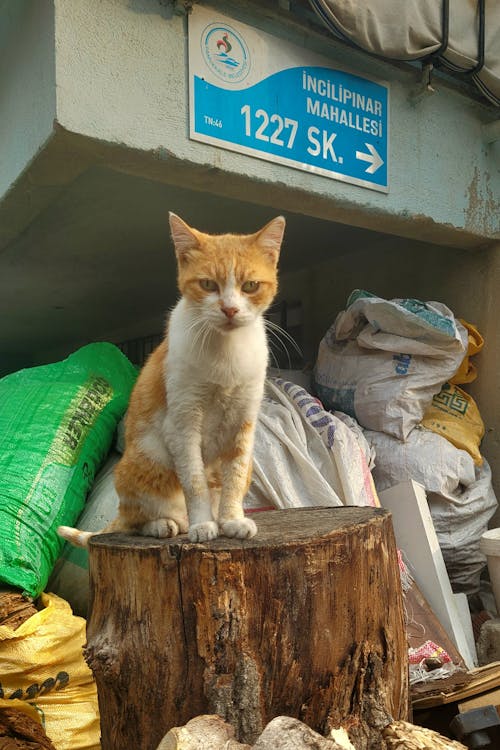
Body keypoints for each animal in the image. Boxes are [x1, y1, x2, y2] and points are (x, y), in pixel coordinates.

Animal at [58, 210, 286, 548]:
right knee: (133, 521)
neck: (226, 352)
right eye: (208, 284)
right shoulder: (183, 421)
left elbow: (232, 477)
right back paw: (166, 525)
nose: (230, 309)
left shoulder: (243, 421)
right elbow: (194, 481)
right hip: (145, 465)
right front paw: (203, 525)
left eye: (250, 286)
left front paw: (231, 520)